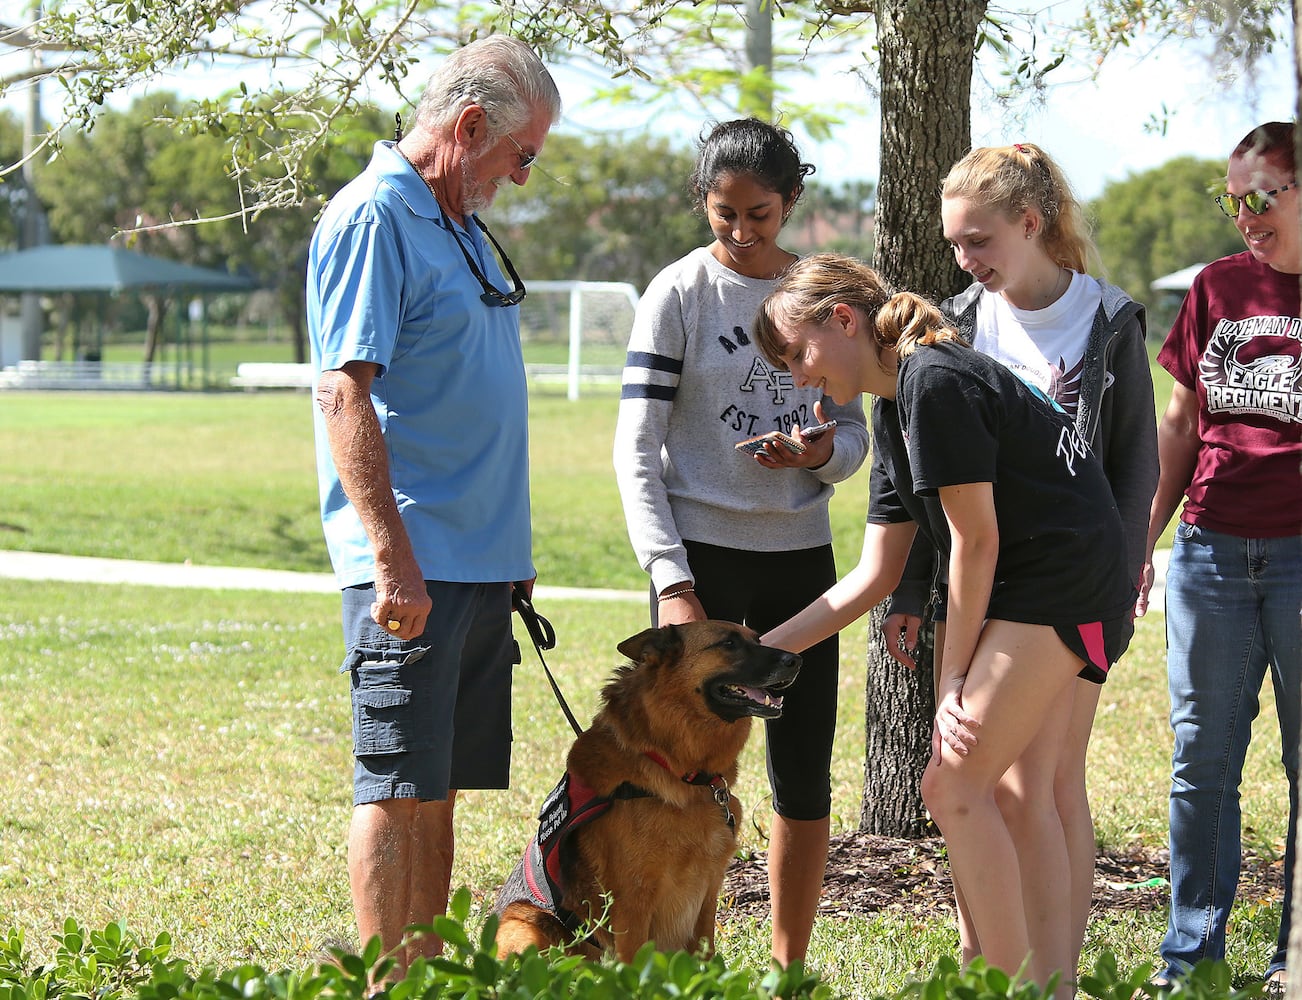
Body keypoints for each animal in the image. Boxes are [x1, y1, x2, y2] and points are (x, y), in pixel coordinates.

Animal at [494, 625, 796, 958]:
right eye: (728, 643)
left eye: (757, 639)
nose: (797, 660)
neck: (679, 771)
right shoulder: (632, 904)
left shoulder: (707, 895)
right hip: (526, 929)